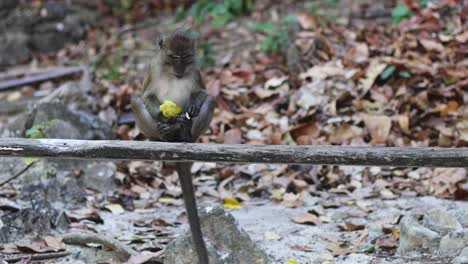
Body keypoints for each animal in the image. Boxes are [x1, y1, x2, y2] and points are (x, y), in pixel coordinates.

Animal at [130, 29, 214, 262]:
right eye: (174, 56)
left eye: (185, 57)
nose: (180, 69)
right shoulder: (153, 67)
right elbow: (146, 95)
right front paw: (164, 118)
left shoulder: (195, 70)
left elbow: (203, 93)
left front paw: (194, 103)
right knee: (135, 99)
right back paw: (164, 134)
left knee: (210, 100)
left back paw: (184, 132)